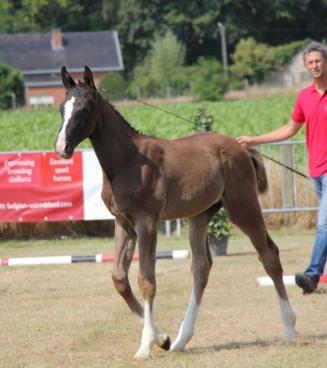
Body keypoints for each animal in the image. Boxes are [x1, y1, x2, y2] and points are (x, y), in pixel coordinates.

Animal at [55, 65, 298, 356]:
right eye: (62, 108)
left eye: (85, 108)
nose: (62, 147)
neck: (128, 161)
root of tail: (241, 147)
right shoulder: (123, 223)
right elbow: (119, 278)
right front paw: (163, 339)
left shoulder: (147, 222)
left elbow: (146, 279)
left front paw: (146, 345)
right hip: (200, 215)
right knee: (202, 268)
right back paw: (182, 340)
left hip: (243, 208)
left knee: (269, 255)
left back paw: (289, 328)